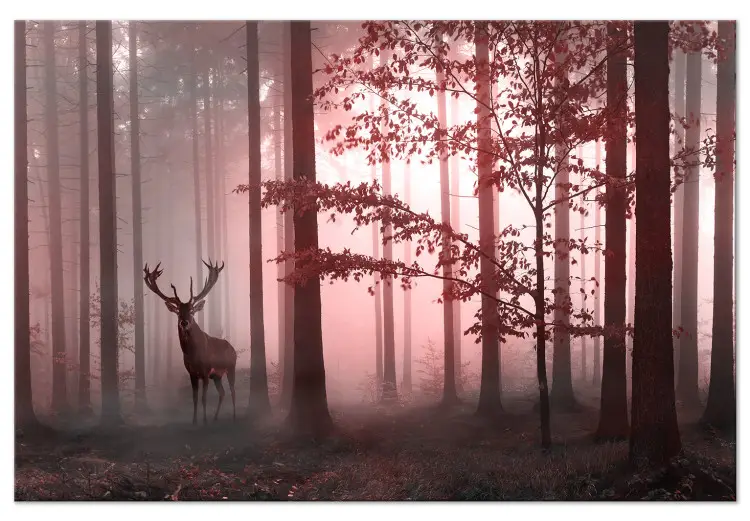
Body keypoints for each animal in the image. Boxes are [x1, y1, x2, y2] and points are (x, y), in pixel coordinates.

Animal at [143, 259, 237, 425]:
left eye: (192, 310)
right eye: (178, 312)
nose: (184, 322)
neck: (193, 354)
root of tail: (233, 349)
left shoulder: (206, 371)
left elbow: (204, 398)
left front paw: (204, 421)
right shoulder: (191, 372)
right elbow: (194, 398)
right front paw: (194, 421)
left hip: (231, 367)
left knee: (232, 391)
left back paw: (234, 416)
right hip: (217, 376)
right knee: (222, 392)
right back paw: (216, 417)